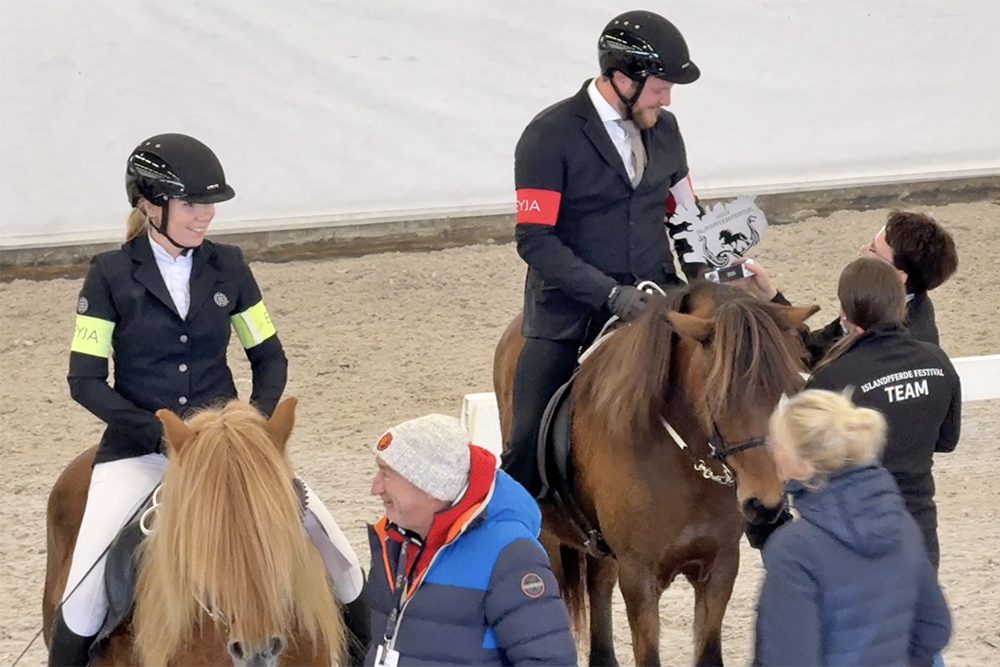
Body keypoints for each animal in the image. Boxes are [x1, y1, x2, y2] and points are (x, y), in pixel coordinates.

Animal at [496, 282, 816, 667]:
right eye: (718, 393)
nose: (765, 503)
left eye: (788, 386)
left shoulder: (720, 568)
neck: (685, 462)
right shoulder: (640, 578)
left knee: (599, 586)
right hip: (549, 538)